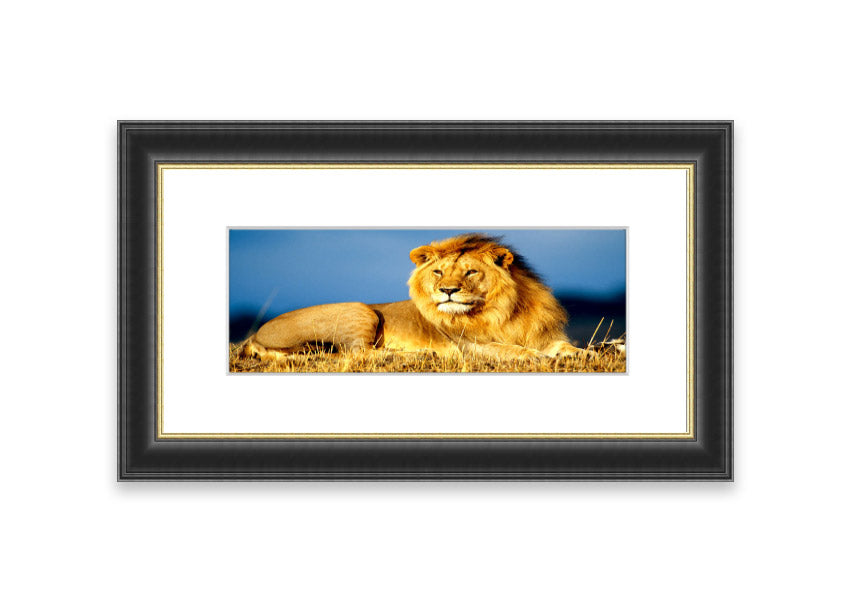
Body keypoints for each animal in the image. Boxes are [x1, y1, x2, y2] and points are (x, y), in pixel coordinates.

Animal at [240, 233, 585, 362]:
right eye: (439, 272)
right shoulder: (470, 345)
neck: (502, 311)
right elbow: (511, 350)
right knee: (357, 353)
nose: (448, 290)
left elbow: (560, 345)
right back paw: (416, 353)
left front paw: (579, 353)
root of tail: (255, 335)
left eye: (470, 272)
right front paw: (539, 358)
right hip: (361, 310)